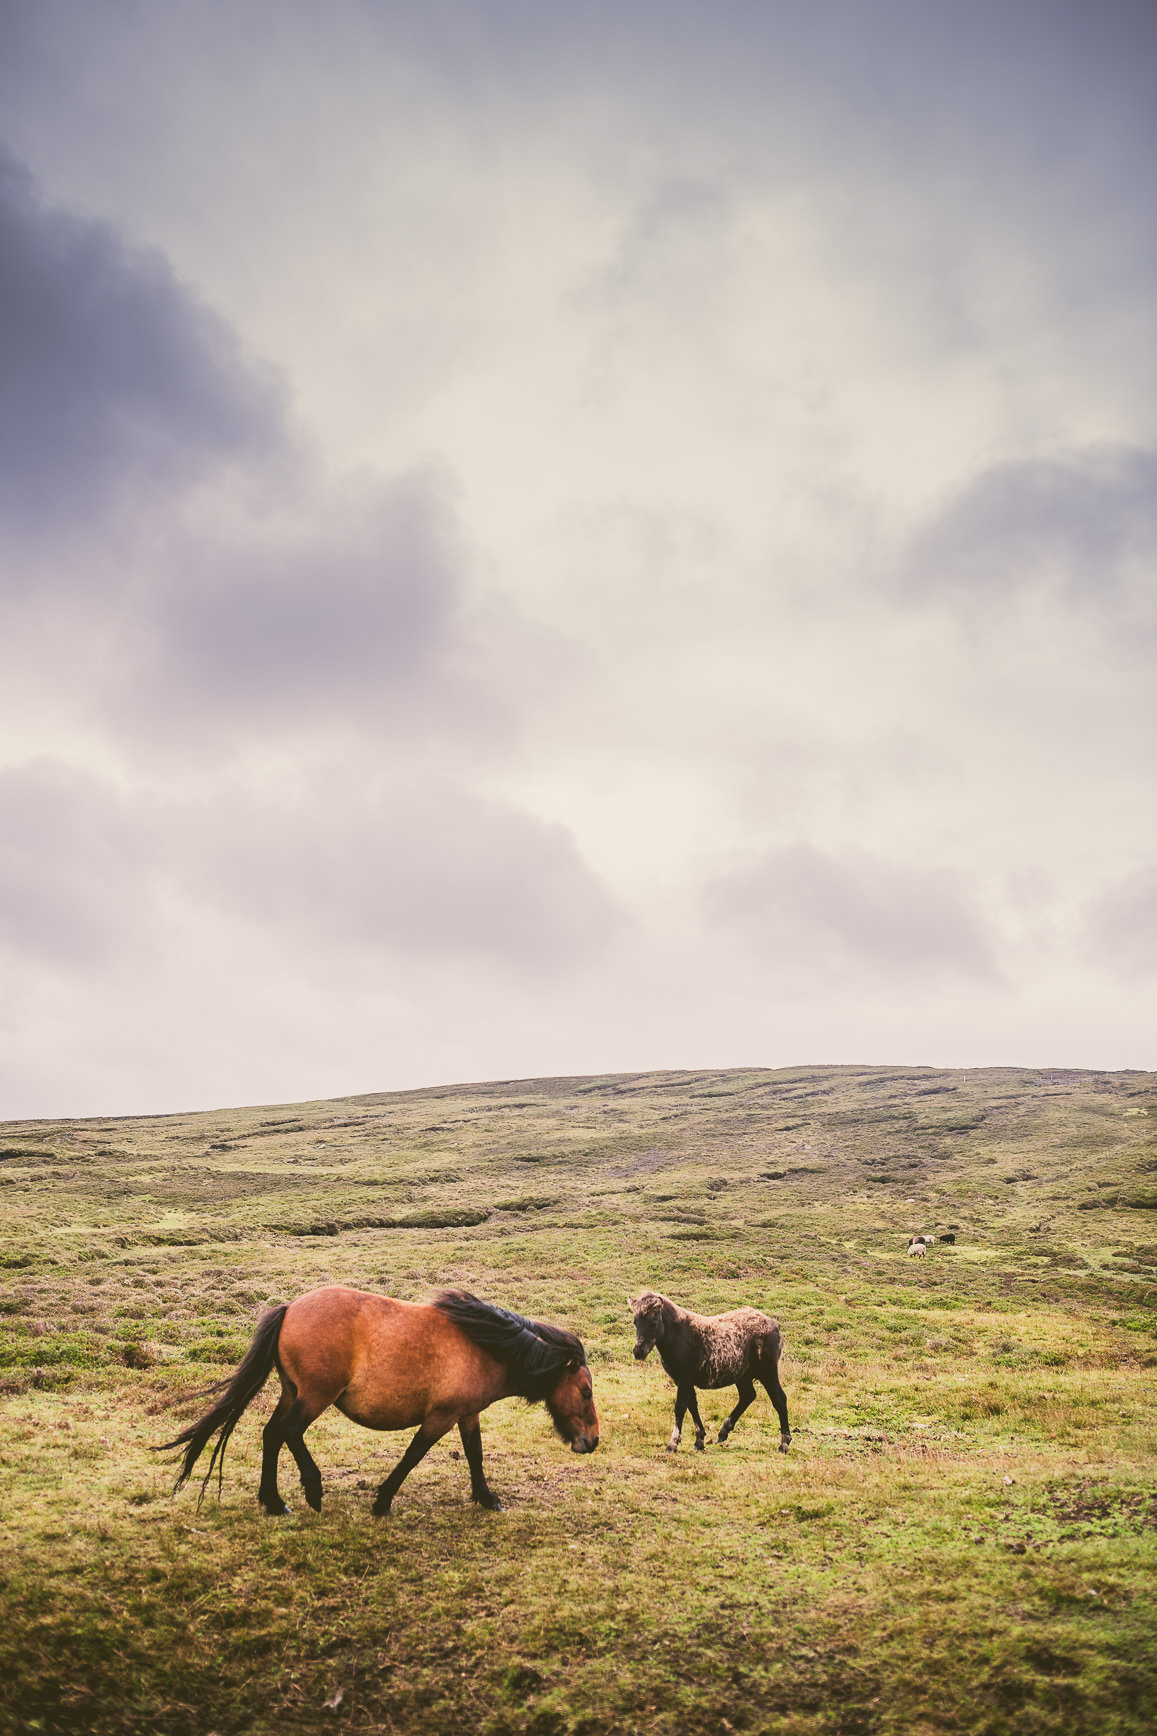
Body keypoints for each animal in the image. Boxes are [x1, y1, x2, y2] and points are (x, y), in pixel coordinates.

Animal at [164, 1284, 594, 1513]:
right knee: (289, 1431)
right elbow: (413, 1455)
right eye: (586, 1391)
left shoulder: (466, 1413)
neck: (485, 1347)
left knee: (272, 1434)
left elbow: (475, 1453)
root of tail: (290, 1308)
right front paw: (383, 1501)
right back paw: (312, 1489)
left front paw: (487, 1499)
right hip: (315, 1396)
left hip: (293, 1392)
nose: (592, 1441)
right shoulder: (440, 1415)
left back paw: (274, 1502)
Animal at [625, 1291, 788, 1451]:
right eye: (635, 1322)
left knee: (779, 1399)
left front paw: (672, 1444)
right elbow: (692, 1406)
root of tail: (774, 1325)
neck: (680, 1335)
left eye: (653, 1323)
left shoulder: (685, 1379)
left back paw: (784, 1444)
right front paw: (699, 1441)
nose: (638, 1352)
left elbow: (680, 1408)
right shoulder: (682, 1380)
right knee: (748, 1396)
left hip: (767, 1372)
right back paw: (723, 1432)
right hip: (743, 1376)